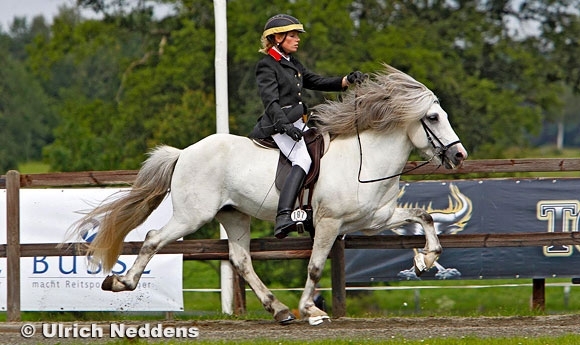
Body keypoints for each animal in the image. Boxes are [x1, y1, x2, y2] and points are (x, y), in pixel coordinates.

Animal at [70, 63, 466, 326]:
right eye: (433, 118)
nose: (459, 156)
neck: (363, 159)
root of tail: (184, 153)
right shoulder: (329, 223)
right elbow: (316, 266)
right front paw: (311, 310)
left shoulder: (372, 219)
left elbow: (423, 217)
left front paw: (425, 259)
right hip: (192, 215)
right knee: (154, 238)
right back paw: (121, 281)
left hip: (234, 215)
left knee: (241, 259)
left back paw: (279, 310)